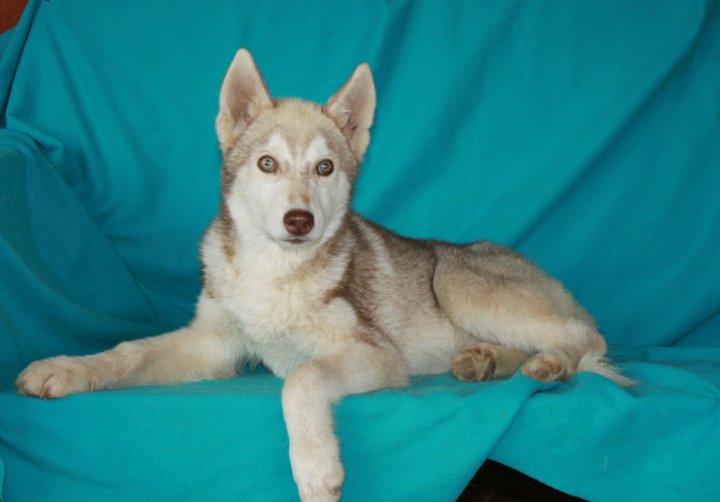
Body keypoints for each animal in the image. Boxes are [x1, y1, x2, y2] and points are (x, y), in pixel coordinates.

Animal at [16, 49, 633, 502]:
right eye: (267, 164)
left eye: (325, 168)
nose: (300, 220)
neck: (275, 274)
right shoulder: (213, 343)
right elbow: (127, 352)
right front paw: (65, 368)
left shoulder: (376, 355)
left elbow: (301, 378)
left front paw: (316, 471)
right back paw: (487, 361)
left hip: (457, 281)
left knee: (588, 337)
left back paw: (550, 364)